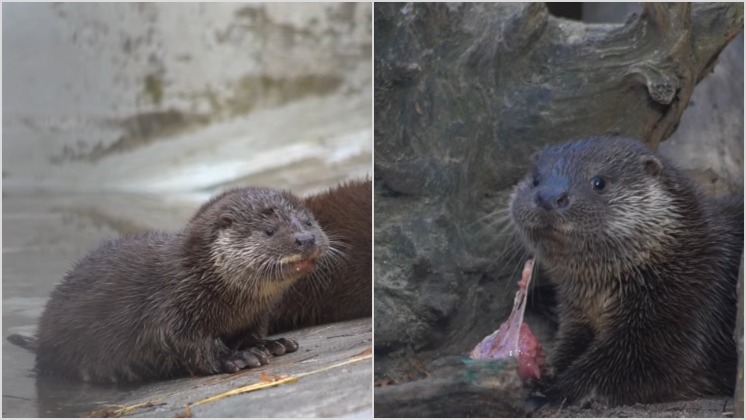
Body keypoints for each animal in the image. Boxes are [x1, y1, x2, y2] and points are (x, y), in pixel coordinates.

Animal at [32, 187, 328, 384]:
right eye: (269, 231)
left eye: (308, 222)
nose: (306, 239)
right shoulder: (169, 310)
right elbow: (188, 345)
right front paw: (237, 358)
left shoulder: (256, 316)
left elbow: (251, 333)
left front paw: (271, 344)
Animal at [508, 137, 740, 406]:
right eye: (536, 179)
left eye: (599, 182)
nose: (548, 197)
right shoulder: (577, 318)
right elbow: (569, 348)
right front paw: (546, 376)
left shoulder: (691, 305)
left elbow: (628, 367)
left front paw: (550, 392)